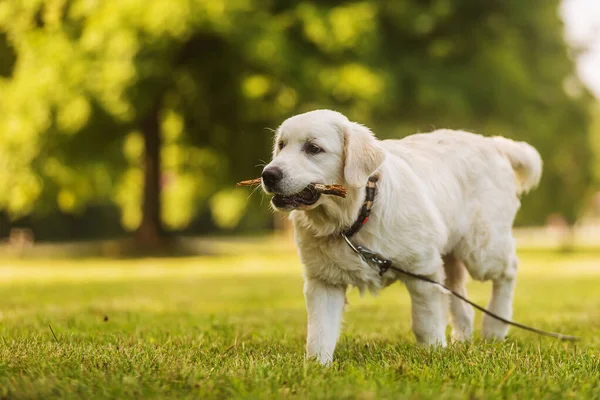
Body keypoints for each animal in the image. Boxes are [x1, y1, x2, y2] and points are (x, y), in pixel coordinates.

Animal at [260, 109, 540, 366]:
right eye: (281, 145)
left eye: (314, 148)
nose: (268, 175)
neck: (358, 213)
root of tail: (495, 144)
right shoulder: (323, 281)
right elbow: (320, 332)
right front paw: (317, 367)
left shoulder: (423, 270)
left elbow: (425, 322)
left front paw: (433, 353)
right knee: (458, 290)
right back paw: (463, 338)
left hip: (481, 248)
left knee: (509, 270)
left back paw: (495, 327)